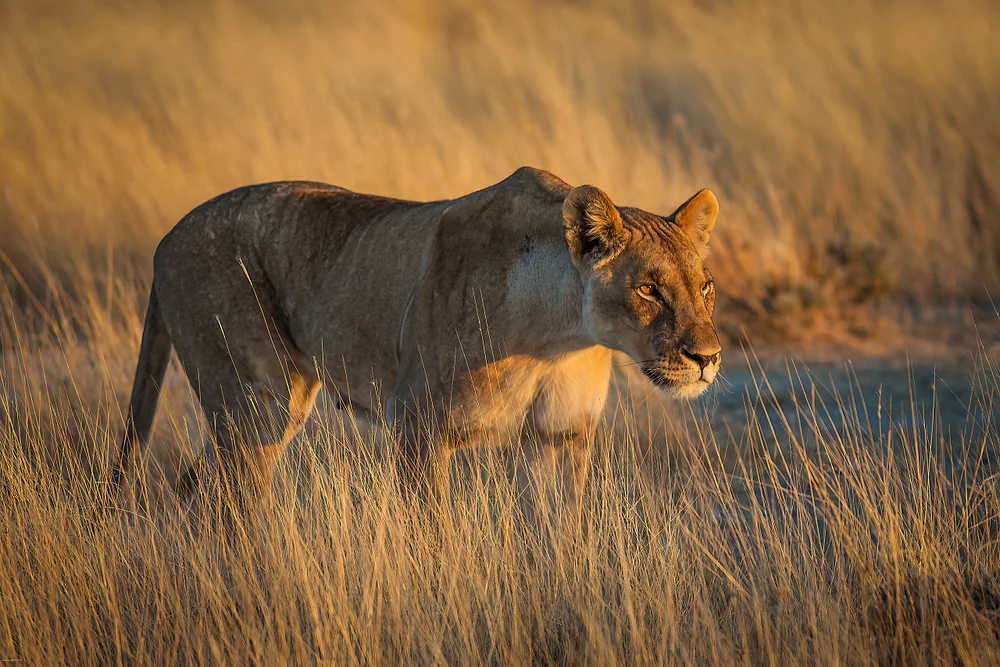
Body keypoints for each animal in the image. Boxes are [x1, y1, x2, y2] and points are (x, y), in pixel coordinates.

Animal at [111, 167, 721, 508]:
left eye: (705, 287)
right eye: (648, 289)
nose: (709, 358)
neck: (557, 338)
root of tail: (168, 236)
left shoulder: (560, 439)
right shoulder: (419, 430)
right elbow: (433, 540)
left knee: (193, 487)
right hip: (259, 401)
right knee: (227, 505)